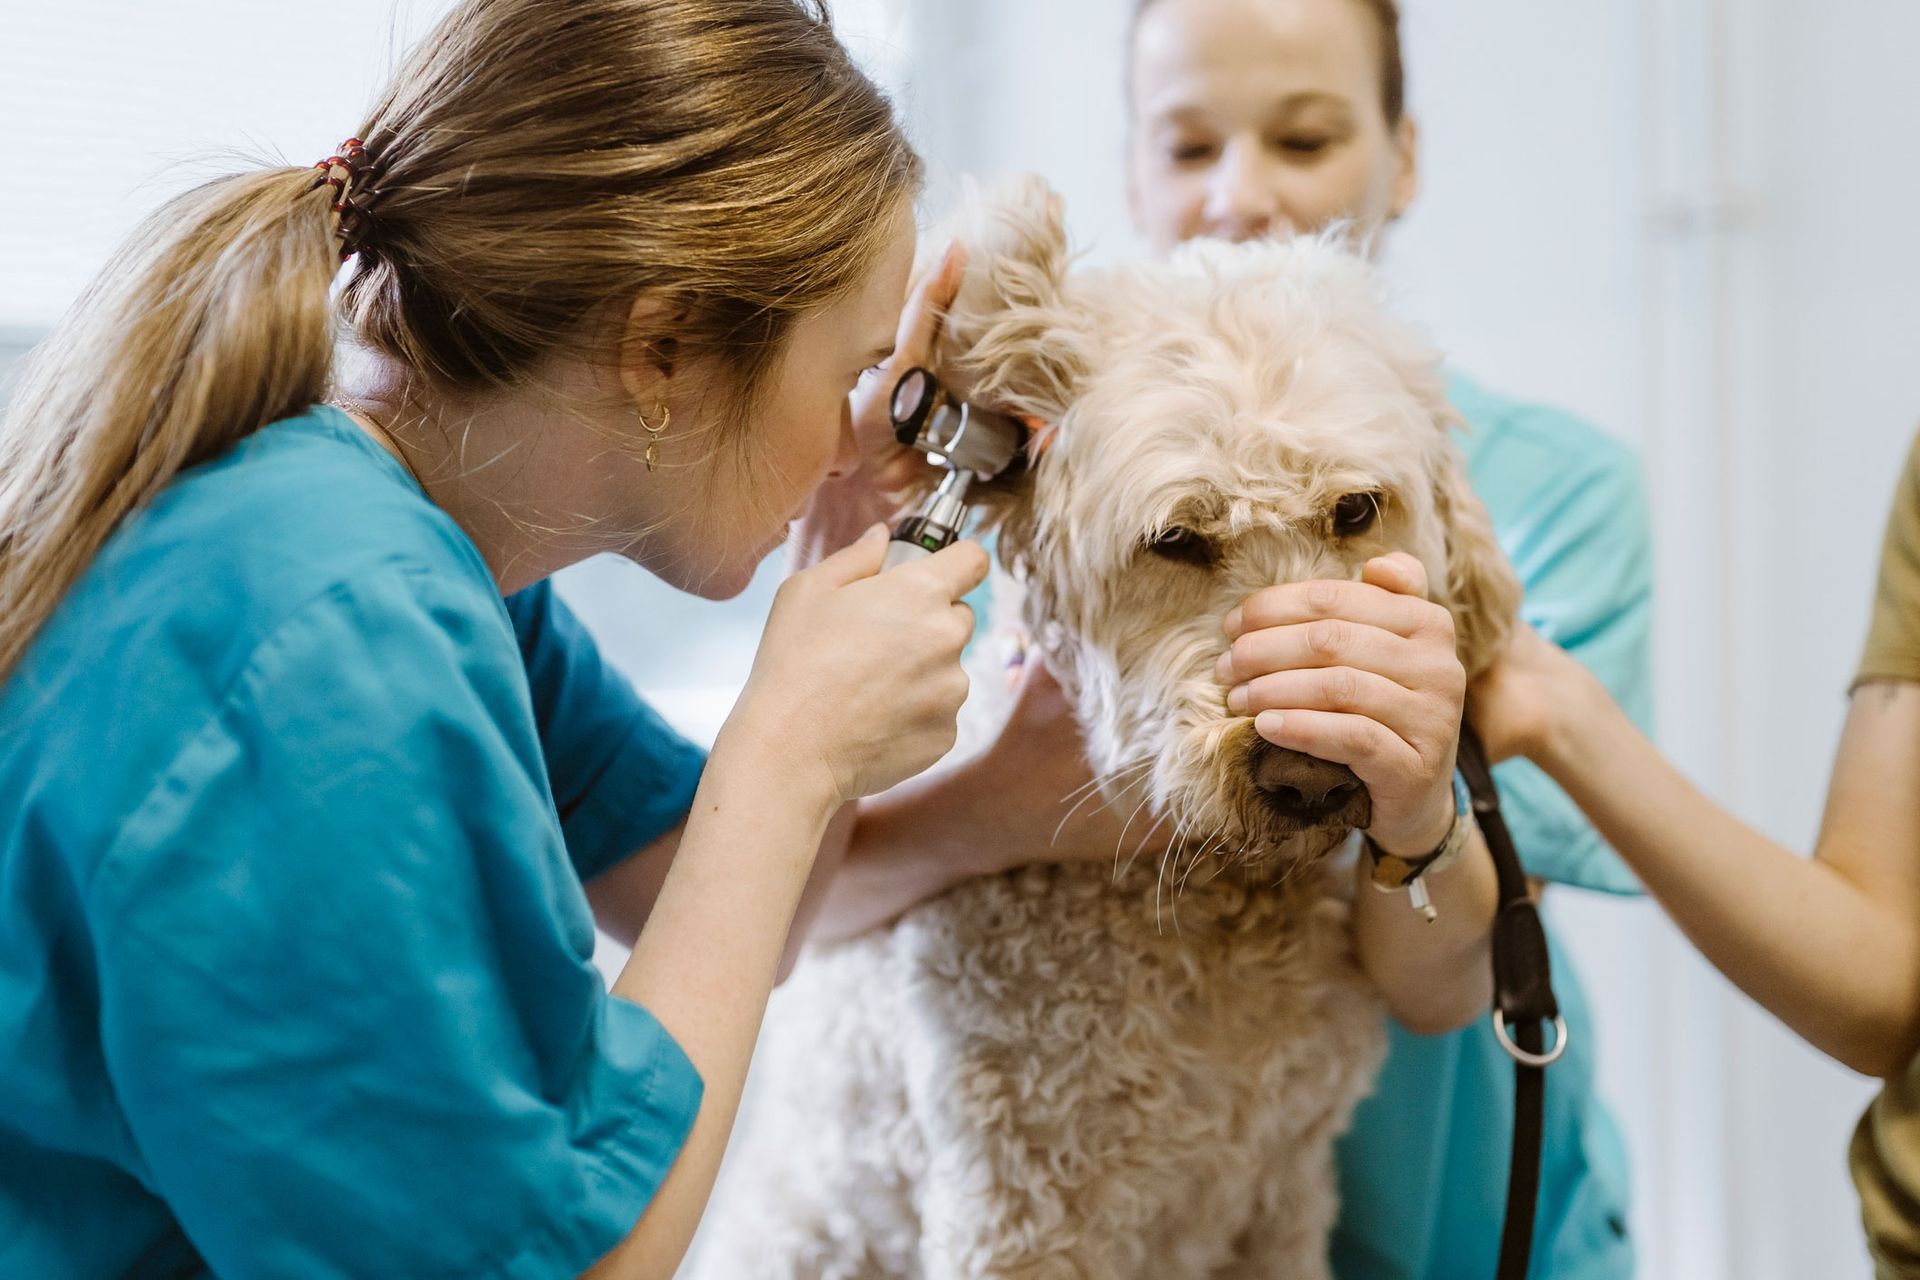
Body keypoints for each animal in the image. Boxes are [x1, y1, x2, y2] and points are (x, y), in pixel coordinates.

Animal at [691, 180, 1512, 1280]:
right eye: (1175, 539)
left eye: (1355, 509)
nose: (1306, 775)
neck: (1220, 917)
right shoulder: (1021, 1210)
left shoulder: (1282, 1194)